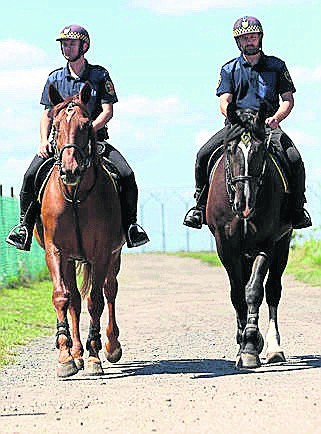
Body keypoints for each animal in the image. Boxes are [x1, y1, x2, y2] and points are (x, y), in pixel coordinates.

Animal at [35, 82, 124, 376]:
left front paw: (95, 355)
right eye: (56, 125)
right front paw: (65, 357)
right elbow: (62, 297)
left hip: (114, 255)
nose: (70, 170)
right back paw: (75, 352)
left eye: (86, 125)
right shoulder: (55, 251)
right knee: (73, 299)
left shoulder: (102, 253)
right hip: (71, 259)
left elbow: (95, 300)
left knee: (110, 291)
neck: (74, 196)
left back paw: (111, 346)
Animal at [205, 105, 292, 370]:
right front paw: (243, 346)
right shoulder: (225, 247)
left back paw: (274, 347)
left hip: (283, 244)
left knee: (272, 290)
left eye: (260, 151)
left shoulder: (268, 243)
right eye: (231, 150)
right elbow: (237, 294)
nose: (243, 203)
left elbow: (253, 291)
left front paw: (252, 344)